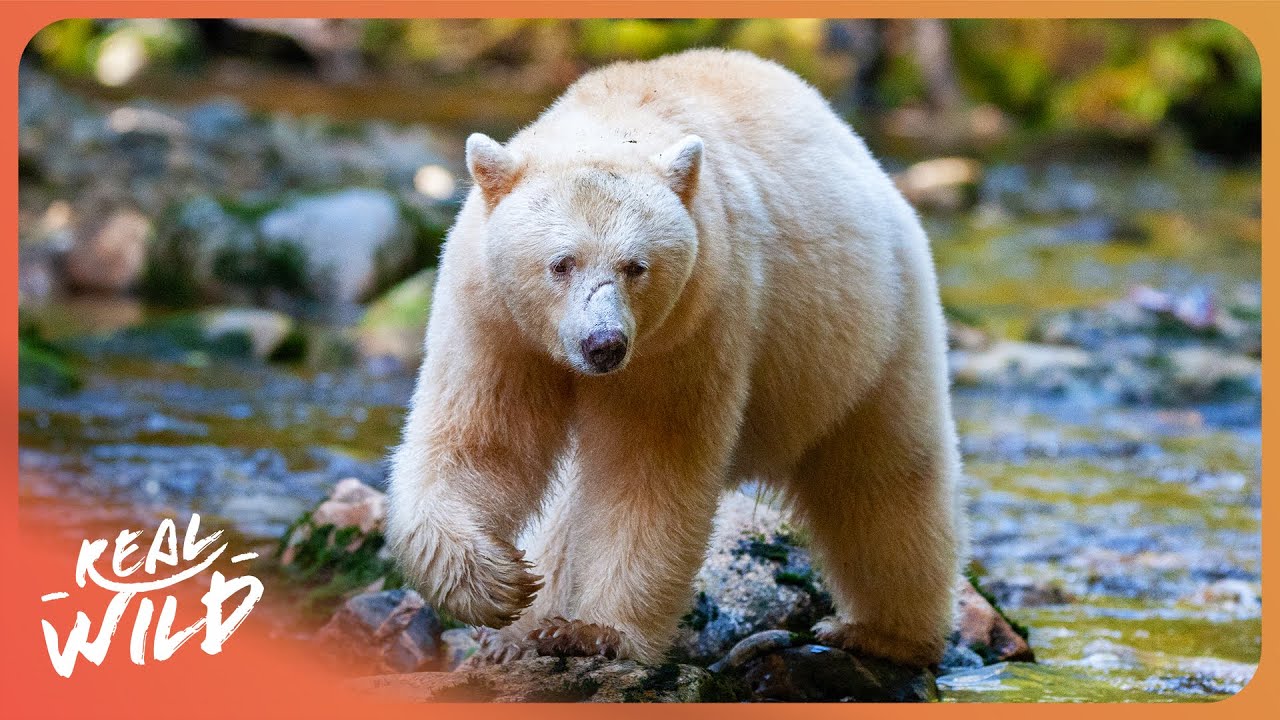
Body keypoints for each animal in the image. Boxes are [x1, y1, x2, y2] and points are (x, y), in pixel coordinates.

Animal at [386, 48, 965, 668]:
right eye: (561, 262)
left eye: (635, 266)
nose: (604, 343)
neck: (616, 115)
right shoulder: (496, 323)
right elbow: (482, 439)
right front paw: (500, 588)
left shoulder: (689, 330)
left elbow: (648, 467)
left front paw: (596, 632)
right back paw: (520, 637)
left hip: (872, 334)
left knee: (885, 476)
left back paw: (884, 633)